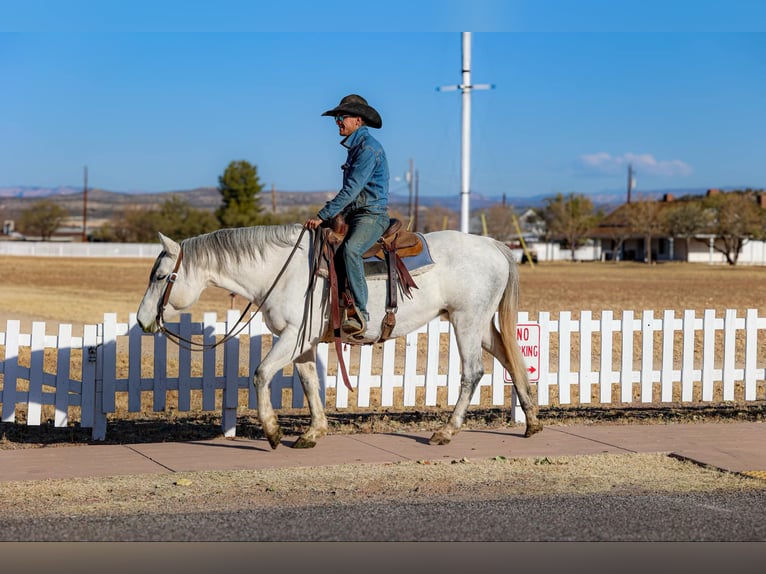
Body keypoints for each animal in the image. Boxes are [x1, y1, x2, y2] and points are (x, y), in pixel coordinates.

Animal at [136, 224, 542, 449]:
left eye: (161, 276)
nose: (142, 321)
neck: (282, 270)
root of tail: (491, 244)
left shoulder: (292, 338)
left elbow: (261, 374)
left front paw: (272, 432)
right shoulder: (302, 343)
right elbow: (309, 383)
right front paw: (313, 432)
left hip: (466, 320)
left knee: (473, 372)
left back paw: (446, 431)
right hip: (480, 324)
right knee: (511, 359)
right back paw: (532, 422)